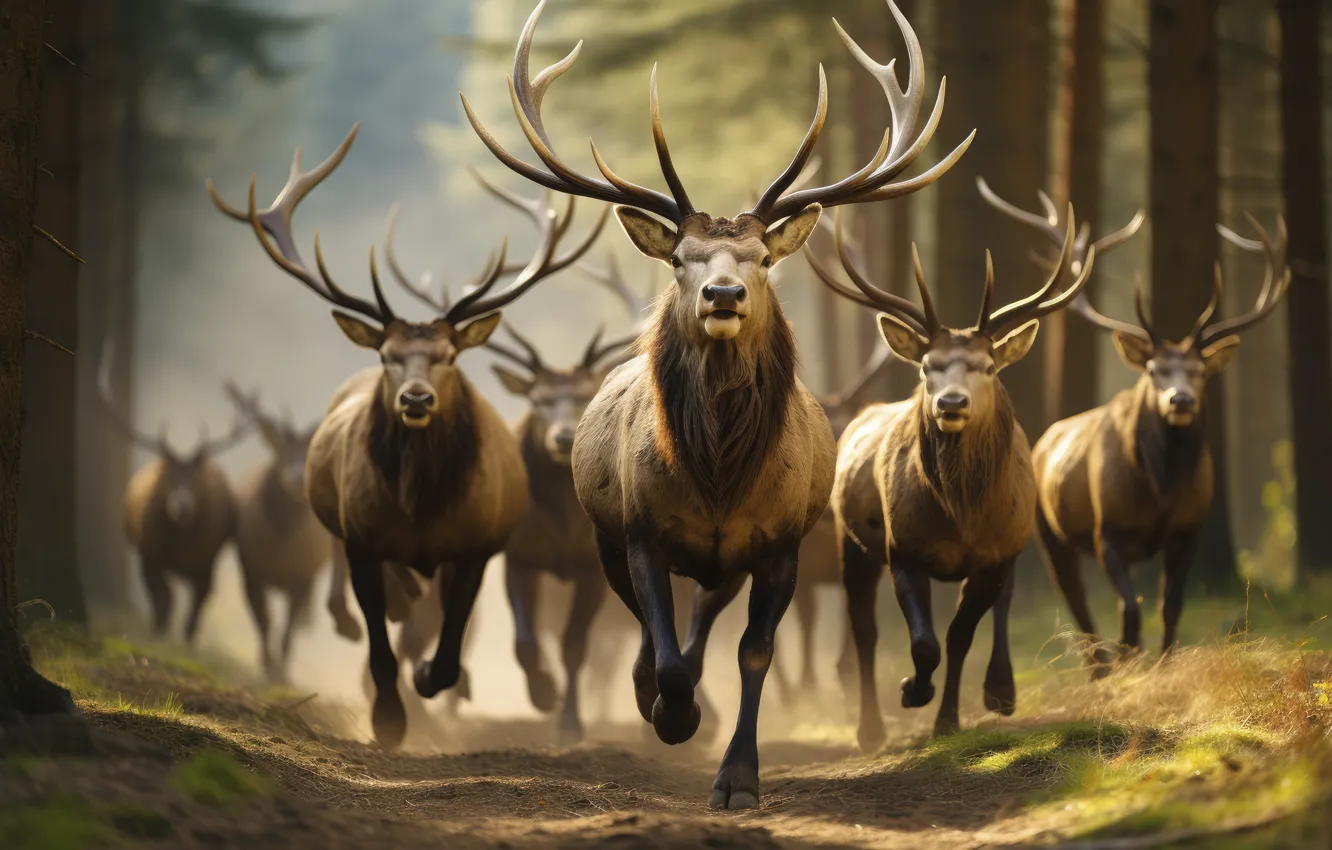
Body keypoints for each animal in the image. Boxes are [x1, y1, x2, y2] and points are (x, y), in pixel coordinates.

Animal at [100, 340, 246, 644]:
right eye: (167, 475)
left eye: (197, 478)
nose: (182, 505)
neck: (179, 544)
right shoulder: (148, 553)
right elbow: (162, 599)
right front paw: (159, 632)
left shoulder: (207, 562)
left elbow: (195, 611)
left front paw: (187, 641)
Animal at [223, 384, 331, 683]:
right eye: (281, 452)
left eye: (308, 451)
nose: (296, 476)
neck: (281, 550)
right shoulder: (250, 568)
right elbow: (264, 621)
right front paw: (267, 666)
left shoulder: (303, 574)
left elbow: (288, 630)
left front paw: (282, 673)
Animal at [462, 0, 971, 807]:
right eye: (679, 258)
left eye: (762, 258)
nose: (723, 294)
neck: (719, 476)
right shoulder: (637, 528)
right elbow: (661, 648)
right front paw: (670, 715)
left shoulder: (781, 542)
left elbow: (752, 653)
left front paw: (738, 777)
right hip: (606, 537)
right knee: (649, 630)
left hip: (724, 562)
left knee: (703, 620)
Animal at [806, 203, 1096, 748]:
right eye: (927, 366)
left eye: (988, 367)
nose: (951, 403)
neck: (960, 515)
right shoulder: (902, 547)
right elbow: (923, 642)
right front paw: (913, 690)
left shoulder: (995, 553)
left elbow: (960, 635)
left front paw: (948, 718)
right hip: (851, 544)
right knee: (863, 629)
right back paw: (870, 727)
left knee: (1000, 604)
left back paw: (1000, 690)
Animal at [980, 185, 1291, 667]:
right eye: (1154, 369)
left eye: (1200, 372)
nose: (1180, 399)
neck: (1160, 489)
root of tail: (1044, 439)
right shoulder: (1107, 530)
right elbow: (1128, 607)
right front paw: (1132, 660)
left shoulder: (1188, 528)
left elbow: (1169, 605)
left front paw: (1163, 660)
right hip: (1048, 530)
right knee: (1076, 603)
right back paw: (1100, 666)